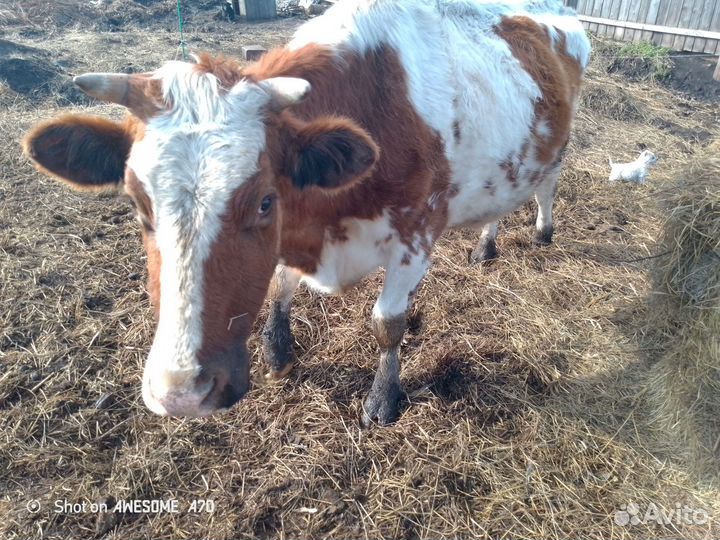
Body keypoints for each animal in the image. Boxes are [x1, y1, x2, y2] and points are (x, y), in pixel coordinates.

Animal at [23, 0, 590, 425]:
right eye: (138, 205)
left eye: (264, 200)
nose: (183, 392)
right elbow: (279, 285)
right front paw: (278, 350)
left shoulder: (417, 235)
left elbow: (388, 323)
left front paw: (383, 397)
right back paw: (485, 244)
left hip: (556, 148)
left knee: (545, 186)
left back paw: (541, 230)